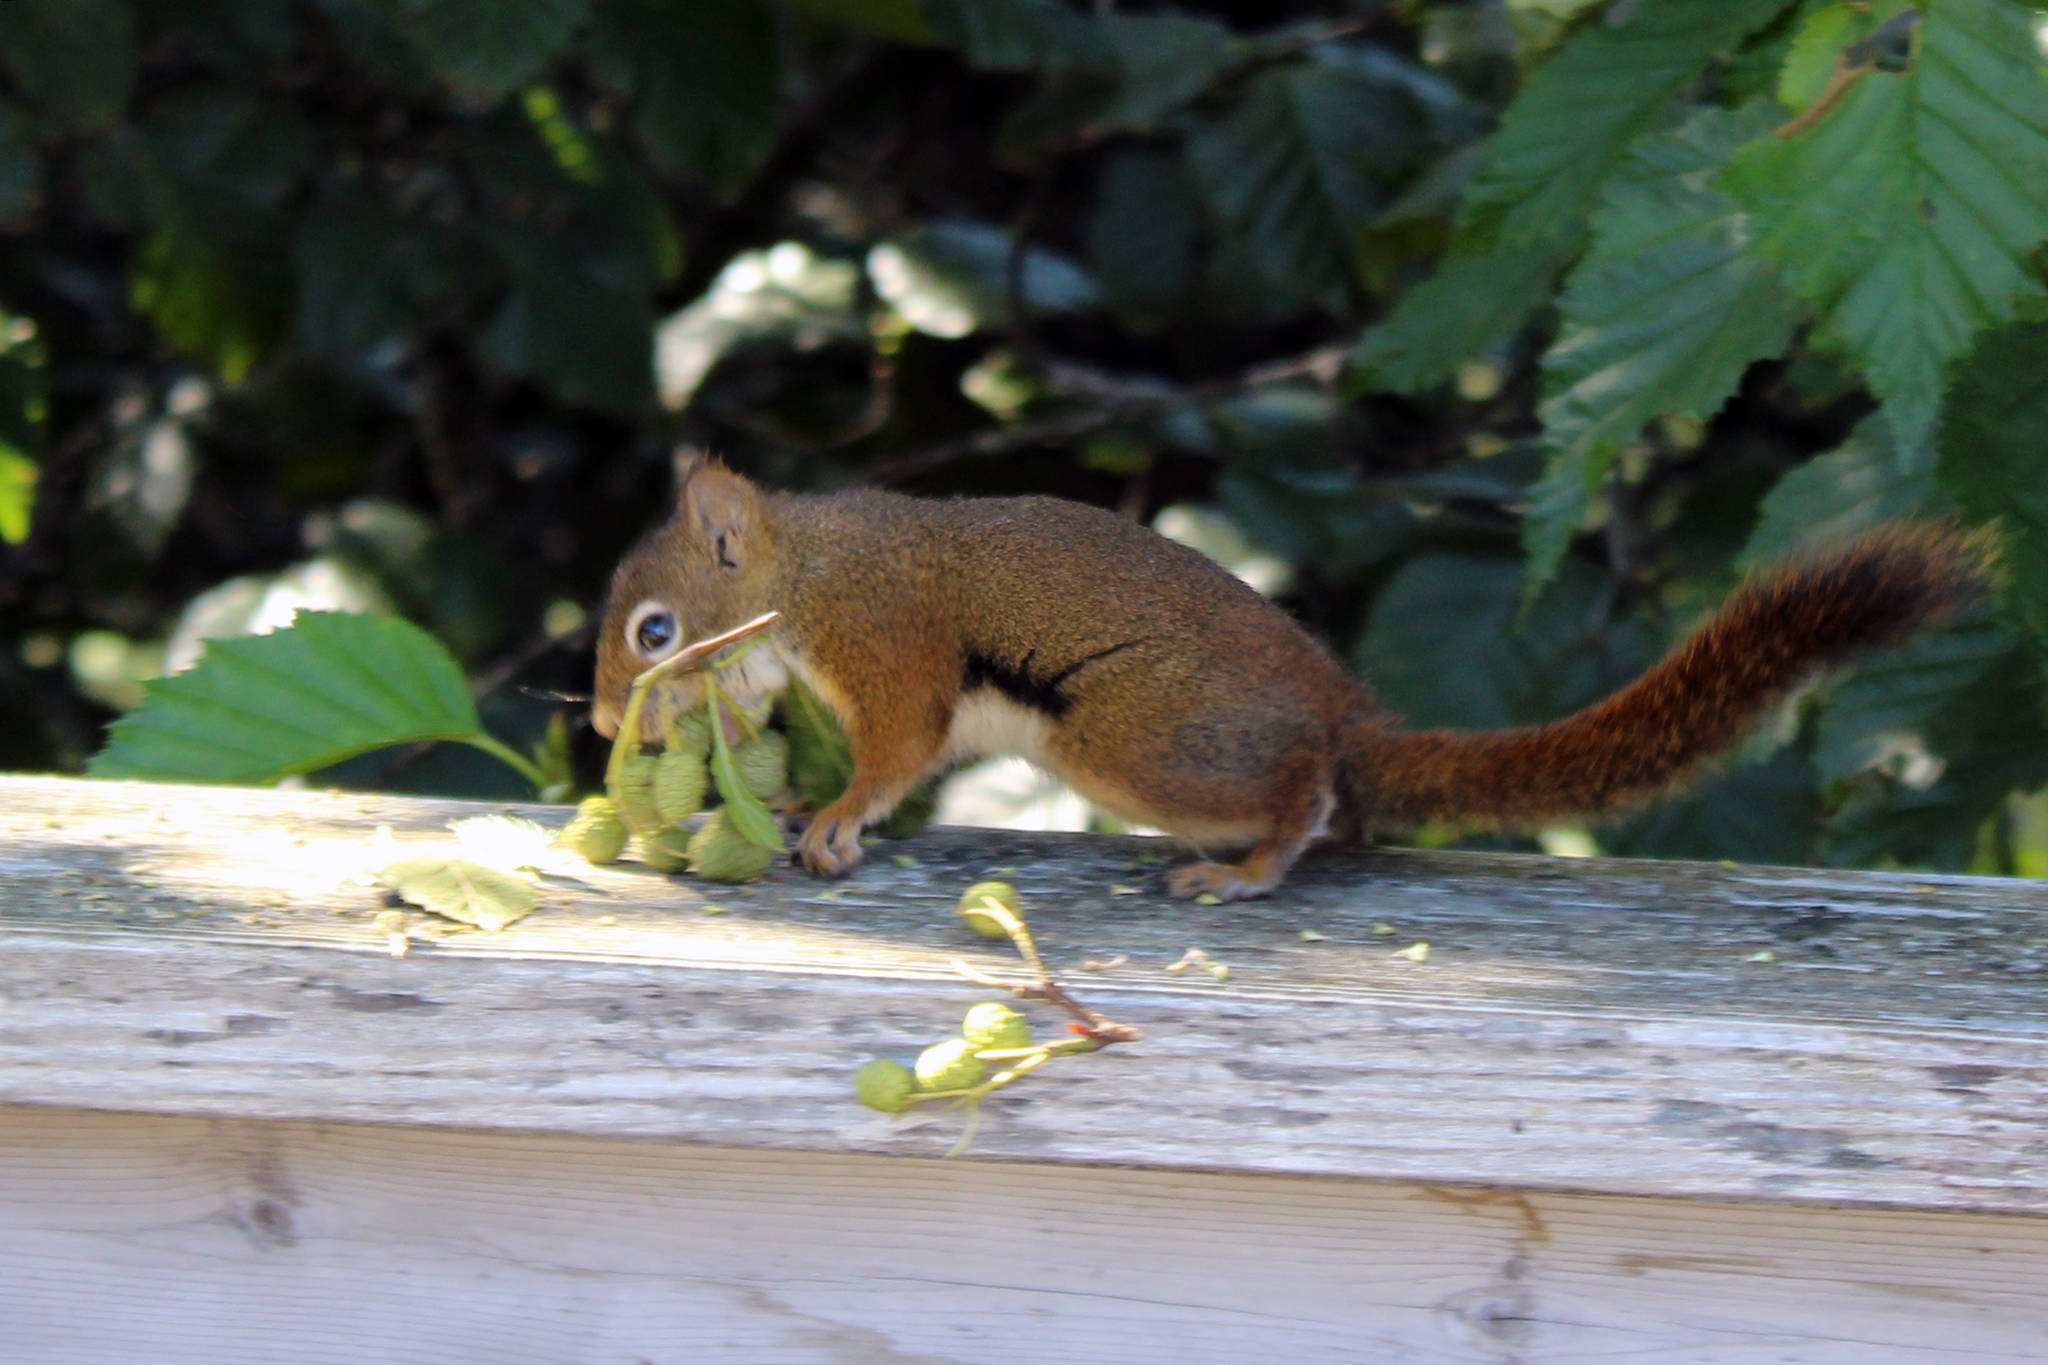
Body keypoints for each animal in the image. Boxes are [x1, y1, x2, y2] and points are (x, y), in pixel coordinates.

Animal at [593, 451, 1985, 900]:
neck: (806, 570)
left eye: (655, 630)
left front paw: (832, 819)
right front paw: (778, 802)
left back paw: (1249, 865)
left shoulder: (887, 642)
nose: (610, 717)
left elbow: (897, 749)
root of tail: (1344, 716)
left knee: (1305, 795)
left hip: (1131, 738)